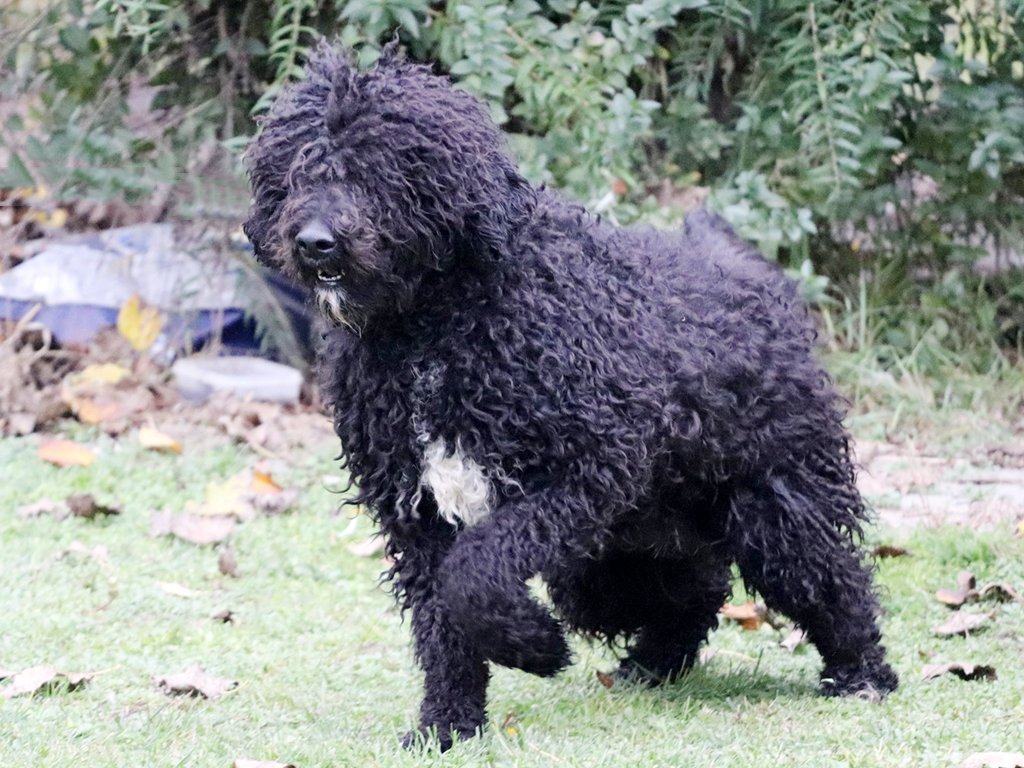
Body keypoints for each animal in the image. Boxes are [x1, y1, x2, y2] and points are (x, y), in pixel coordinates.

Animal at [245, 40, 897, 753]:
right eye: (299, 171)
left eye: (379, 170)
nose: (314, 242)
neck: (435, 328)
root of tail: (752, 276)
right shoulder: (416, 510)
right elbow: (445, 619)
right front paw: (449, 723)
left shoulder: (584, 471)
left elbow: (476, 572)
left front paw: (534, 647)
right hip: (621, 549)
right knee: (693, 586)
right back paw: (653, 661)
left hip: (774, 505)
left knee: (831, 579)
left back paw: (862, 673)